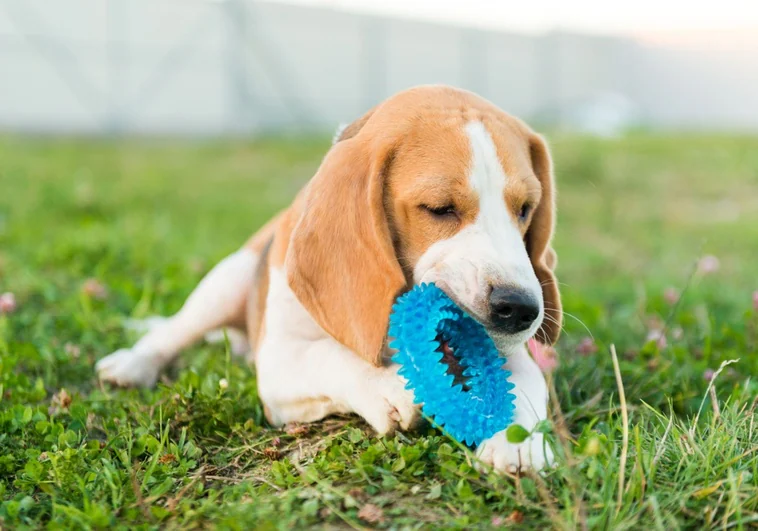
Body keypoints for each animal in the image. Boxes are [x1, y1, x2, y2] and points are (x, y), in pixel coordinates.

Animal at [96, 85, 564, 472]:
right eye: (439, 208)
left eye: (526, 209)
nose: (520, 309)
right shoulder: (279, 363)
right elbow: (327, 355)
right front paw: (386, 386)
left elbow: (525, 383)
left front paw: (518, 441)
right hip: (226, 281)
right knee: (173, 331)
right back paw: (131, 364)